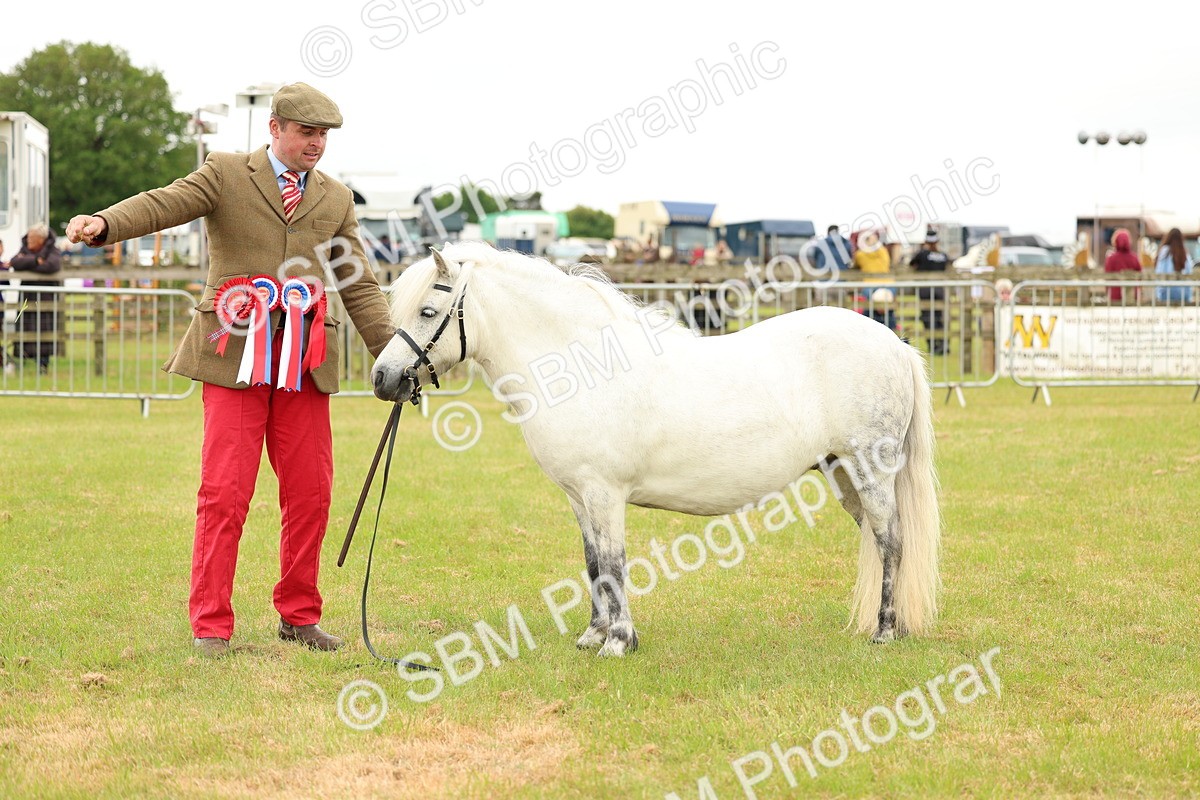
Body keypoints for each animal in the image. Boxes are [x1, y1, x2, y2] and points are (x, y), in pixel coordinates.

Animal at [371, 242, 940, 657]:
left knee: (891, 541)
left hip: (870, 472)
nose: (382, 378)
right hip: (843, 475)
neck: (580, 366)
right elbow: (593, 563)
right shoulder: (580, 497)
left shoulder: (604, 494)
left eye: (428, 310)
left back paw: (885, 632)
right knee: (877, 540)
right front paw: (593, 636)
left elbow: (614, 562)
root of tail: (894, 343)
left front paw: (619, 643)